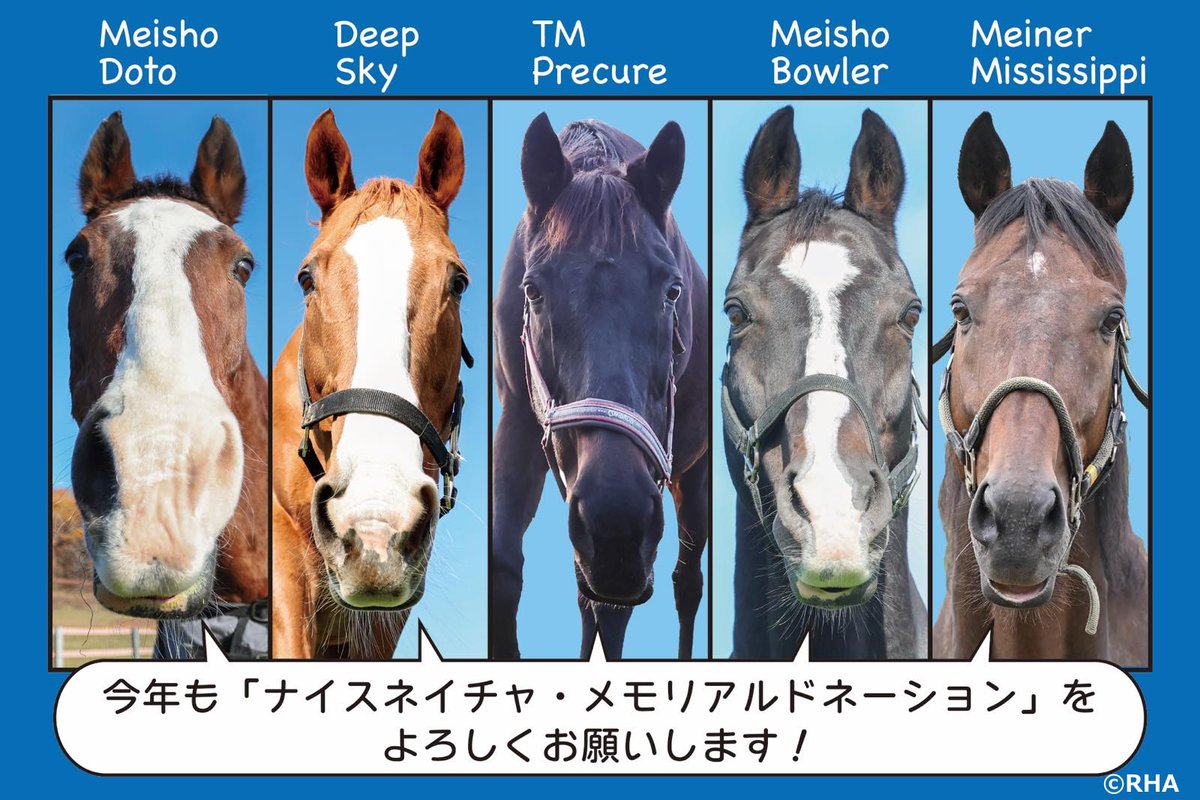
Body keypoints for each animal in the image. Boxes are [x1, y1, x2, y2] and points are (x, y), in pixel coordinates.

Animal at [491, 114, 709, 660]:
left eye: (673, 290)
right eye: (533, 290)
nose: (616, 521)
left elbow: (616, 610)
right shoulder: (519, 422)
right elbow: (503, 568)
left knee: (686, 582)